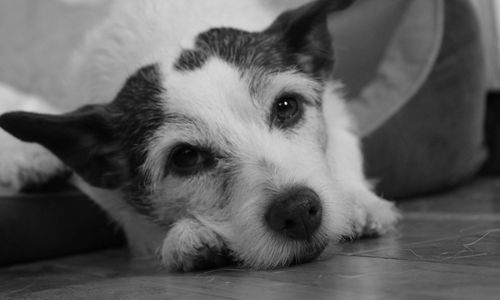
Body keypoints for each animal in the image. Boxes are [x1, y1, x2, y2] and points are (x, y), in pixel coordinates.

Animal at [0, 0, 398, 272]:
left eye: (286, 106)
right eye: (186, 157)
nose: (299, 211)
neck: (166, 38)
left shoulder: (335, 108)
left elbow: (342, 149)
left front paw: (360, 201)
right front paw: (190, 236)